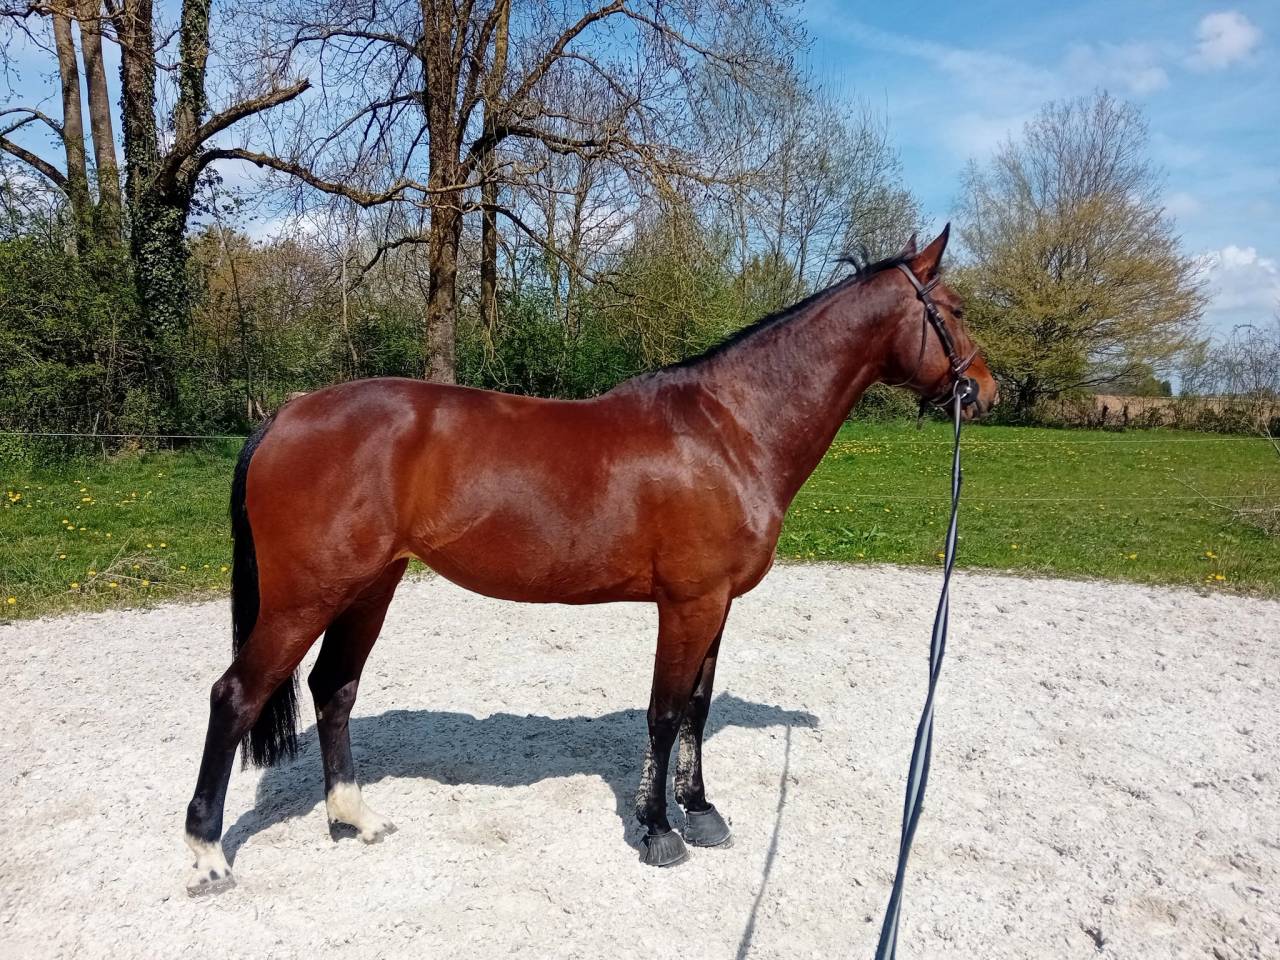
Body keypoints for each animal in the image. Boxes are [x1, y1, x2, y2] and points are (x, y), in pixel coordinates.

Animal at [183, 224, 998, 894]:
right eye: (954, 308)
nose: (986, 392)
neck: (730, 429)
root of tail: (288, 411)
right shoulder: (688, 603)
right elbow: (665, 713)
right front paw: (659, 830)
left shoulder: (718, 604)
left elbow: (697, 709)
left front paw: (701, 811)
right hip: (305, 596)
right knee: (236, 696)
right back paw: (207, 856)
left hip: (368, 587)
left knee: (334, 689)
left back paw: (355, 818)